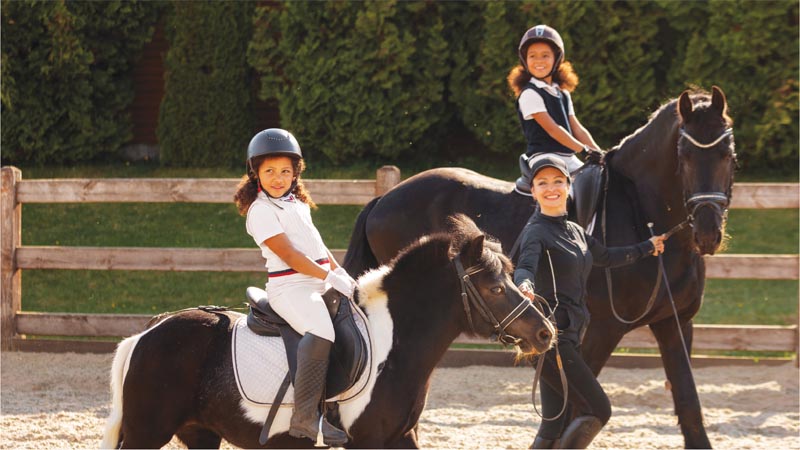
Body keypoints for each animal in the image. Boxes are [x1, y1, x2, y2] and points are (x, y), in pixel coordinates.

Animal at [101, 215, 555, 449]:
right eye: (495, 288)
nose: (545, 333)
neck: (394, 346)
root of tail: (146, 334)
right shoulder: (367, 441)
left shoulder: (401, 437)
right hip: (147, 433)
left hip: (200, 434)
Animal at [342, 86, 735, 448]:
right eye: (684, 156)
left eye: (728, 155)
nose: (708, 232)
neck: (640, 213)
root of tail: (384, 198)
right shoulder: (603, 330)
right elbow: (574, 410)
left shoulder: (674, 323)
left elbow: (688, 402)